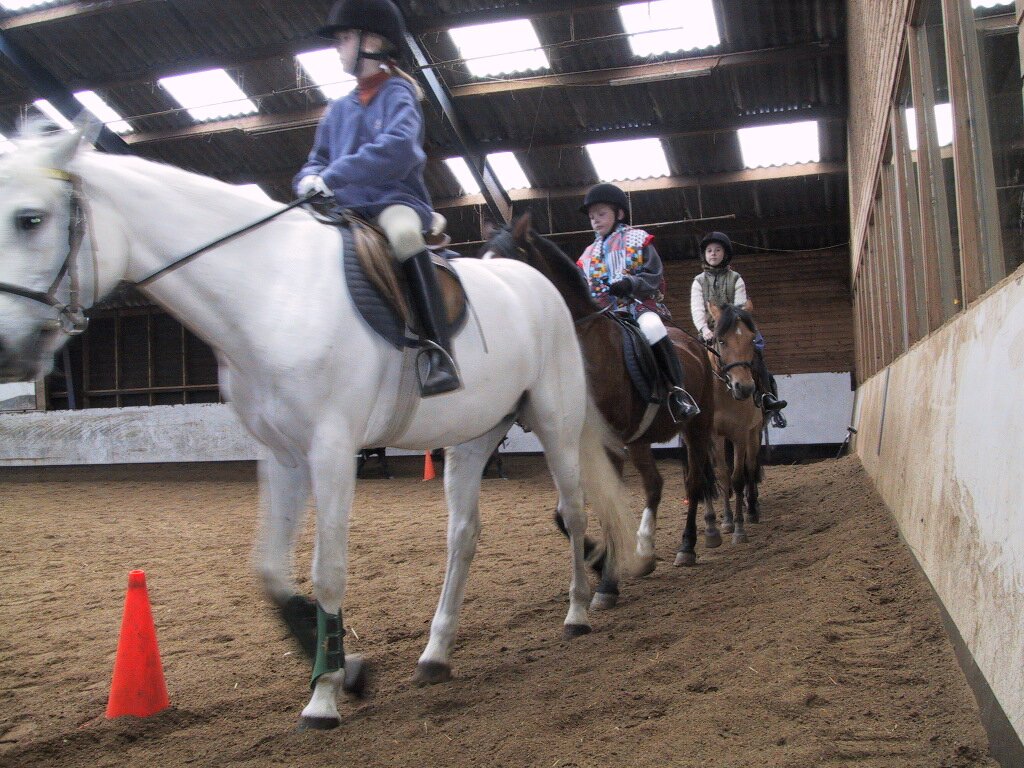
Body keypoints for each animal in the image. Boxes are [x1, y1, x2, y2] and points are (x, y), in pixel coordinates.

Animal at [0, 124, 639, 730]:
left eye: (31, 219)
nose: (11, 348)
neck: (270, 289)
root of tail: (538, 286)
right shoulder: (282, 455)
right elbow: (268, 572)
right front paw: (347, 669)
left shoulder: (331, 450)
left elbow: (326, 571)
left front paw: (325, 698)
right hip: (472, 435)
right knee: (464, 535)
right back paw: (436, 654)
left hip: (555, 422)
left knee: (573, 509)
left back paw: (578, 611)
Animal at [482, 214, 719, 606]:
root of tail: (694, 345)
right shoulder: (573, 445)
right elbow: (564, 514)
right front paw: (598, 561)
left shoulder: (608, 445)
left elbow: (606, 508)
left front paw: (607, 583)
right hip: (639, 442)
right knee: (655, 485)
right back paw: (644, 550)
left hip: (697, 427)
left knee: (693, 482)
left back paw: (687, 547)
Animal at [704, 302, 766, 540]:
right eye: (721, 341)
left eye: (751, 339)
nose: (745, 388)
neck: (723, 393)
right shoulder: (714, 436)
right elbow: (723, 475)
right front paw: (728, 521)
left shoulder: (740, 434)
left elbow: (739, 477)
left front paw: (739, 528)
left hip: (754, 433)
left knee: (751, 467)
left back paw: (752, 510)